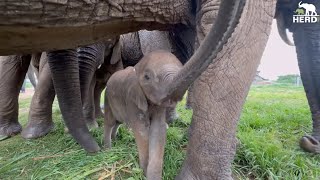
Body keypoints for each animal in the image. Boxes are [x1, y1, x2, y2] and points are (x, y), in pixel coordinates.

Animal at [104, 50, 181, 179]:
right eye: (147, 77)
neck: (137, 67)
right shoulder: (132, 99)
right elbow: (141, 131)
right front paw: (144, 172)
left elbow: (157, 130)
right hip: (107, 99)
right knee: (110, 123)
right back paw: (108, 149)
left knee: (118, 122)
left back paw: (115, 140)